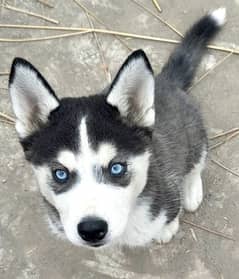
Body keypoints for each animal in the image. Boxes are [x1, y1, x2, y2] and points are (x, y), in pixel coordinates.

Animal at [8, 8, 226, 249]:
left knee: (196, 163)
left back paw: (191, 191)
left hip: (194, 135)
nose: (92, 229)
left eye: (116, 168)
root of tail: (165, 80)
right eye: (60, 173)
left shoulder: (167, 190)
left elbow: (171, 212)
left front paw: (168, 228)